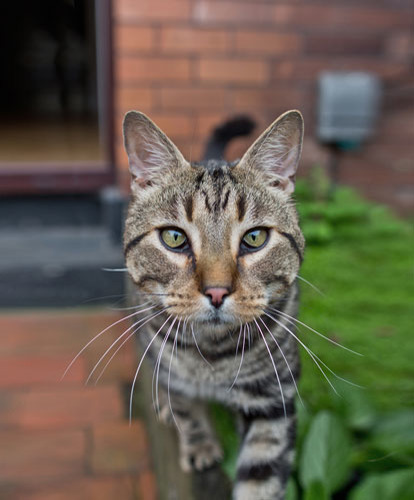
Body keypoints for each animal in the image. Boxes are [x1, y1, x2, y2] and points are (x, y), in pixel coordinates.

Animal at [122, 110, 304, 500]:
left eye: (256, 237)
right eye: (174, 237)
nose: (217, 292)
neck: (211, 353)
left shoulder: (272, 399)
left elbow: (261, 478)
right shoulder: (173, 372)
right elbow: (186, 410)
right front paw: (200, 444)